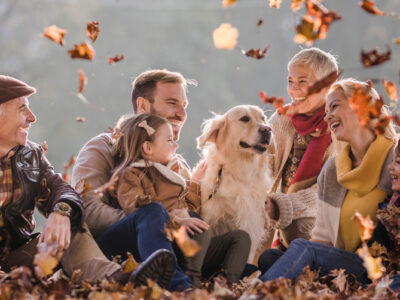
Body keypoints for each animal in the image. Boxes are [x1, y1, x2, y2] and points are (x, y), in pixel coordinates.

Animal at [196, 105, 272, 260]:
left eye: (263, 118)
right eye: (245, 118)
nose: (267, 129)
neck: (240, 172)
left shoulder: (251, 223)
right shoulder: (210, 218)